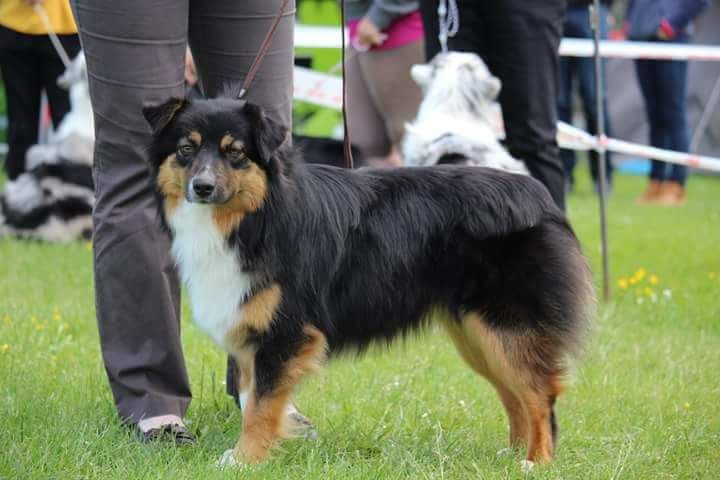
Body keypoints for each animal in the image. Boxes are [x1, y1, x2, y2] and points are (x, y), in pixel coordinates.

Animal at [143, 95, 592, 466]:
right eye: (186, 149)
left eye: (234, 152)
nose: (202, 187)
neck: (258, 215)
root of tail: (539, 194)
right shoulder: (255, 333)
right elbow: (252, 398)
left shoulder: (284, 333)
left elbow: (261, 407)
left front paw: (245, 461)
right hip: (476, 333)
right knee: (514, 394)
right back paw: (512, 456)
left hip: (506, 325)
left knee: (539, 394)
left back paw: (536, 462)